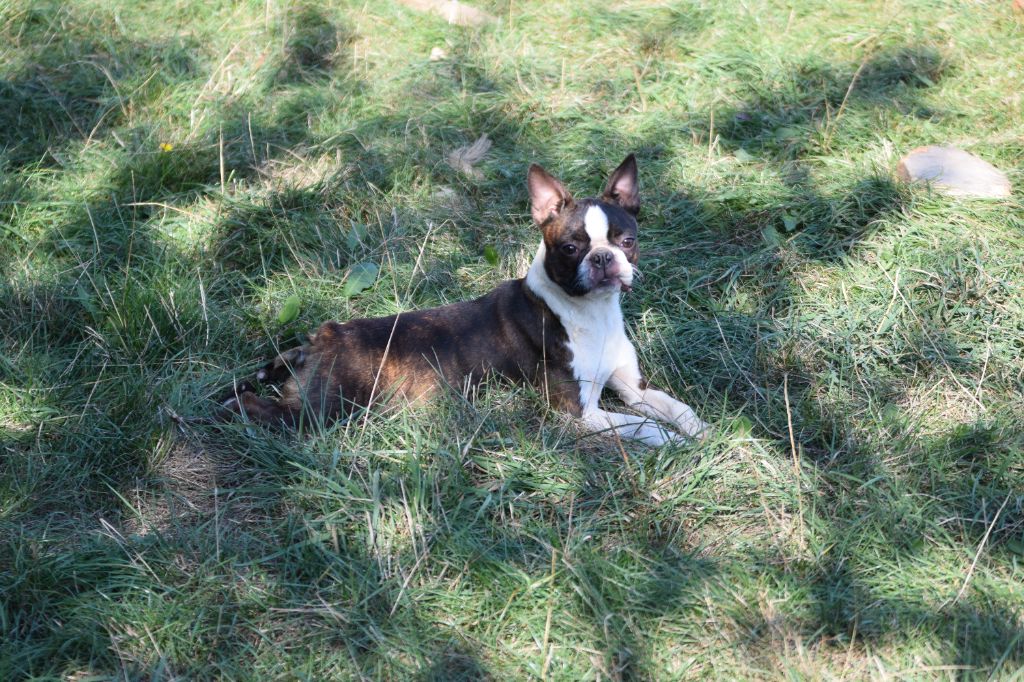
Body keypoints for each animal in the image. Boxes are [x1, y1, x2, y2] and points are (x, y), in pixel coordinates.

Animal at [221, 153, 708, 444]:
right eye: (571, 248)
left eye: (627, 241)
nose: (605, 258)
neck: (589, 312)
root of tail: (322, 336)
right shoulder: (578, 411)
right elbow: (642, 424)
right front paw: (671, 442)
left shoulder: (631, 385)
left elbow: (673, 407)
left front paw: (700, 429)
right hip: (324, 410)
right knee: (264, 409)